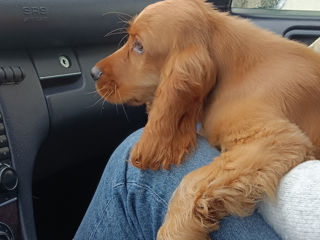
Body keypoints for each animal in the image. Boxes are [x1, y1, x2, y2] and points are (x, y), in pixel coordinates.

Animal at [89, 0, 320, 239]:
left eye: (139, 46)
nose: (93, 73)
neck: (232, 72)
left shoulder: (278, 139)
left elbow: (190, 181)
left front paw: (174, 231)